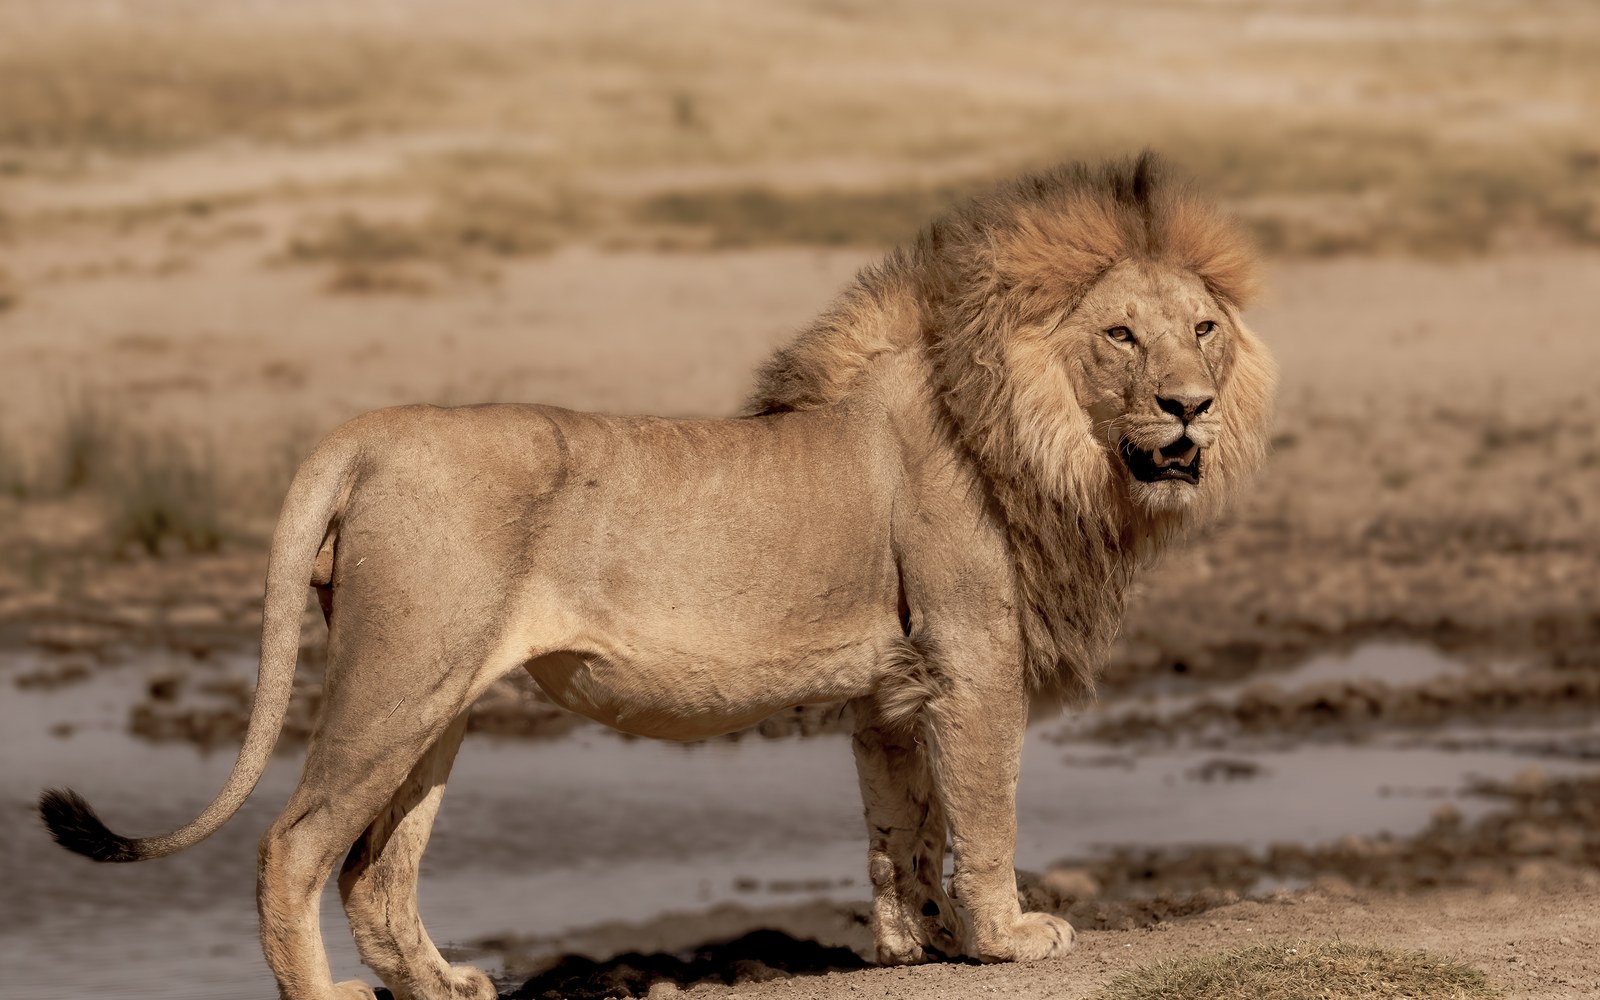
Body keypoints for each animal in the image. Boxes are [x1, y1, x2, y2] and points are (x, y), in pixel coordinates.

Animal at [40, 153, 1274, 1000]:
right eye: (1121, 337)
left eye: (1202, 329)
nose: (1191, 408)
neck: (1045, 444)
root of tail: (371, 429)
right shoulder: (973, 661)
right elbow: (985, 808)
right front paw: (1009, 937)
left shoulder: (894, 689)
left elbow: (902, 824)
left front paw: (908, 941)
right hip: (399, 676)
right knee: (293, 846)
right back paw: (329, 993)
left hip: (437, 695)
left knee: (374, 871)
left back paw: (443, 984)